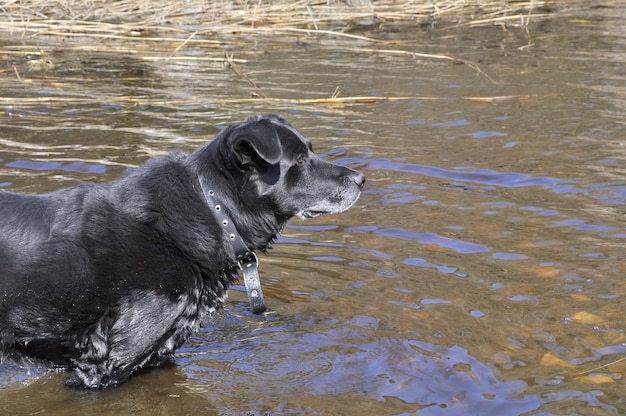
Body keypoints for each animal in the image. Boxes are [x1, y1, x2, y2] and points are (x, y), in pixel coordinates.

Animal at [0, 115, 364, 388]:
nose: (360, 179)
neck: (214, 209)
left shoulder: (159, 355)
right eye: (300, 159)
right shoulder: (105, 367)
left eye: (311, 152)